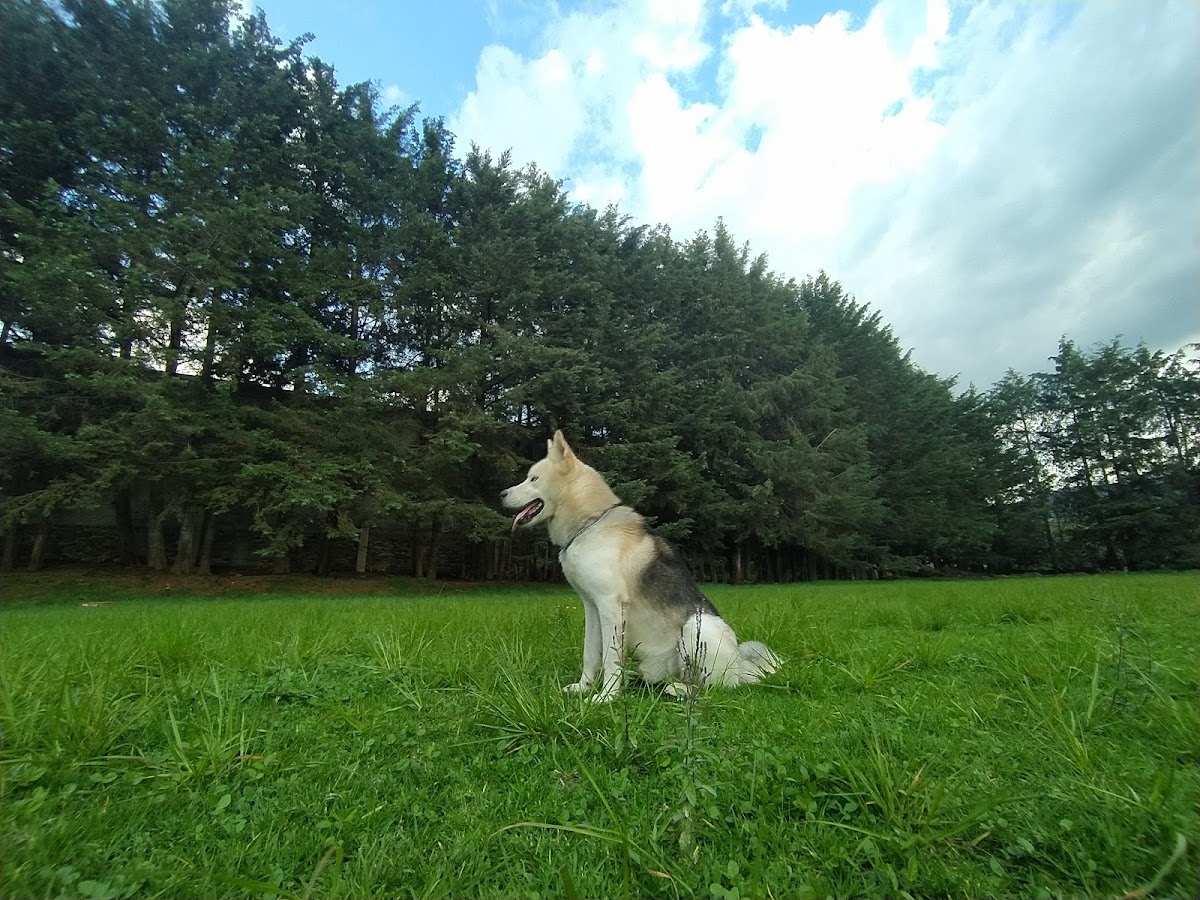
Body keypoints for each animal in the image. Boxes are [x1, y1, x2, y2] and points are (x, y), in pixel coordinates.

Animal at [501, 431, 780, 701]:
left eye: (533, 479)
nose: (501, 494)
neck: (590, 524)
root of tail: (741, 668)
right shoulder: (592, 607)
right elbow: (590, 654)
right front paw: (583, 688)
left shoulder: (610, 605)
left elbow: (610, 658)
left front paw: (606, 696)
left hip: (696, 627)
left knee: (712, 688)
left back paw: (679, 690)